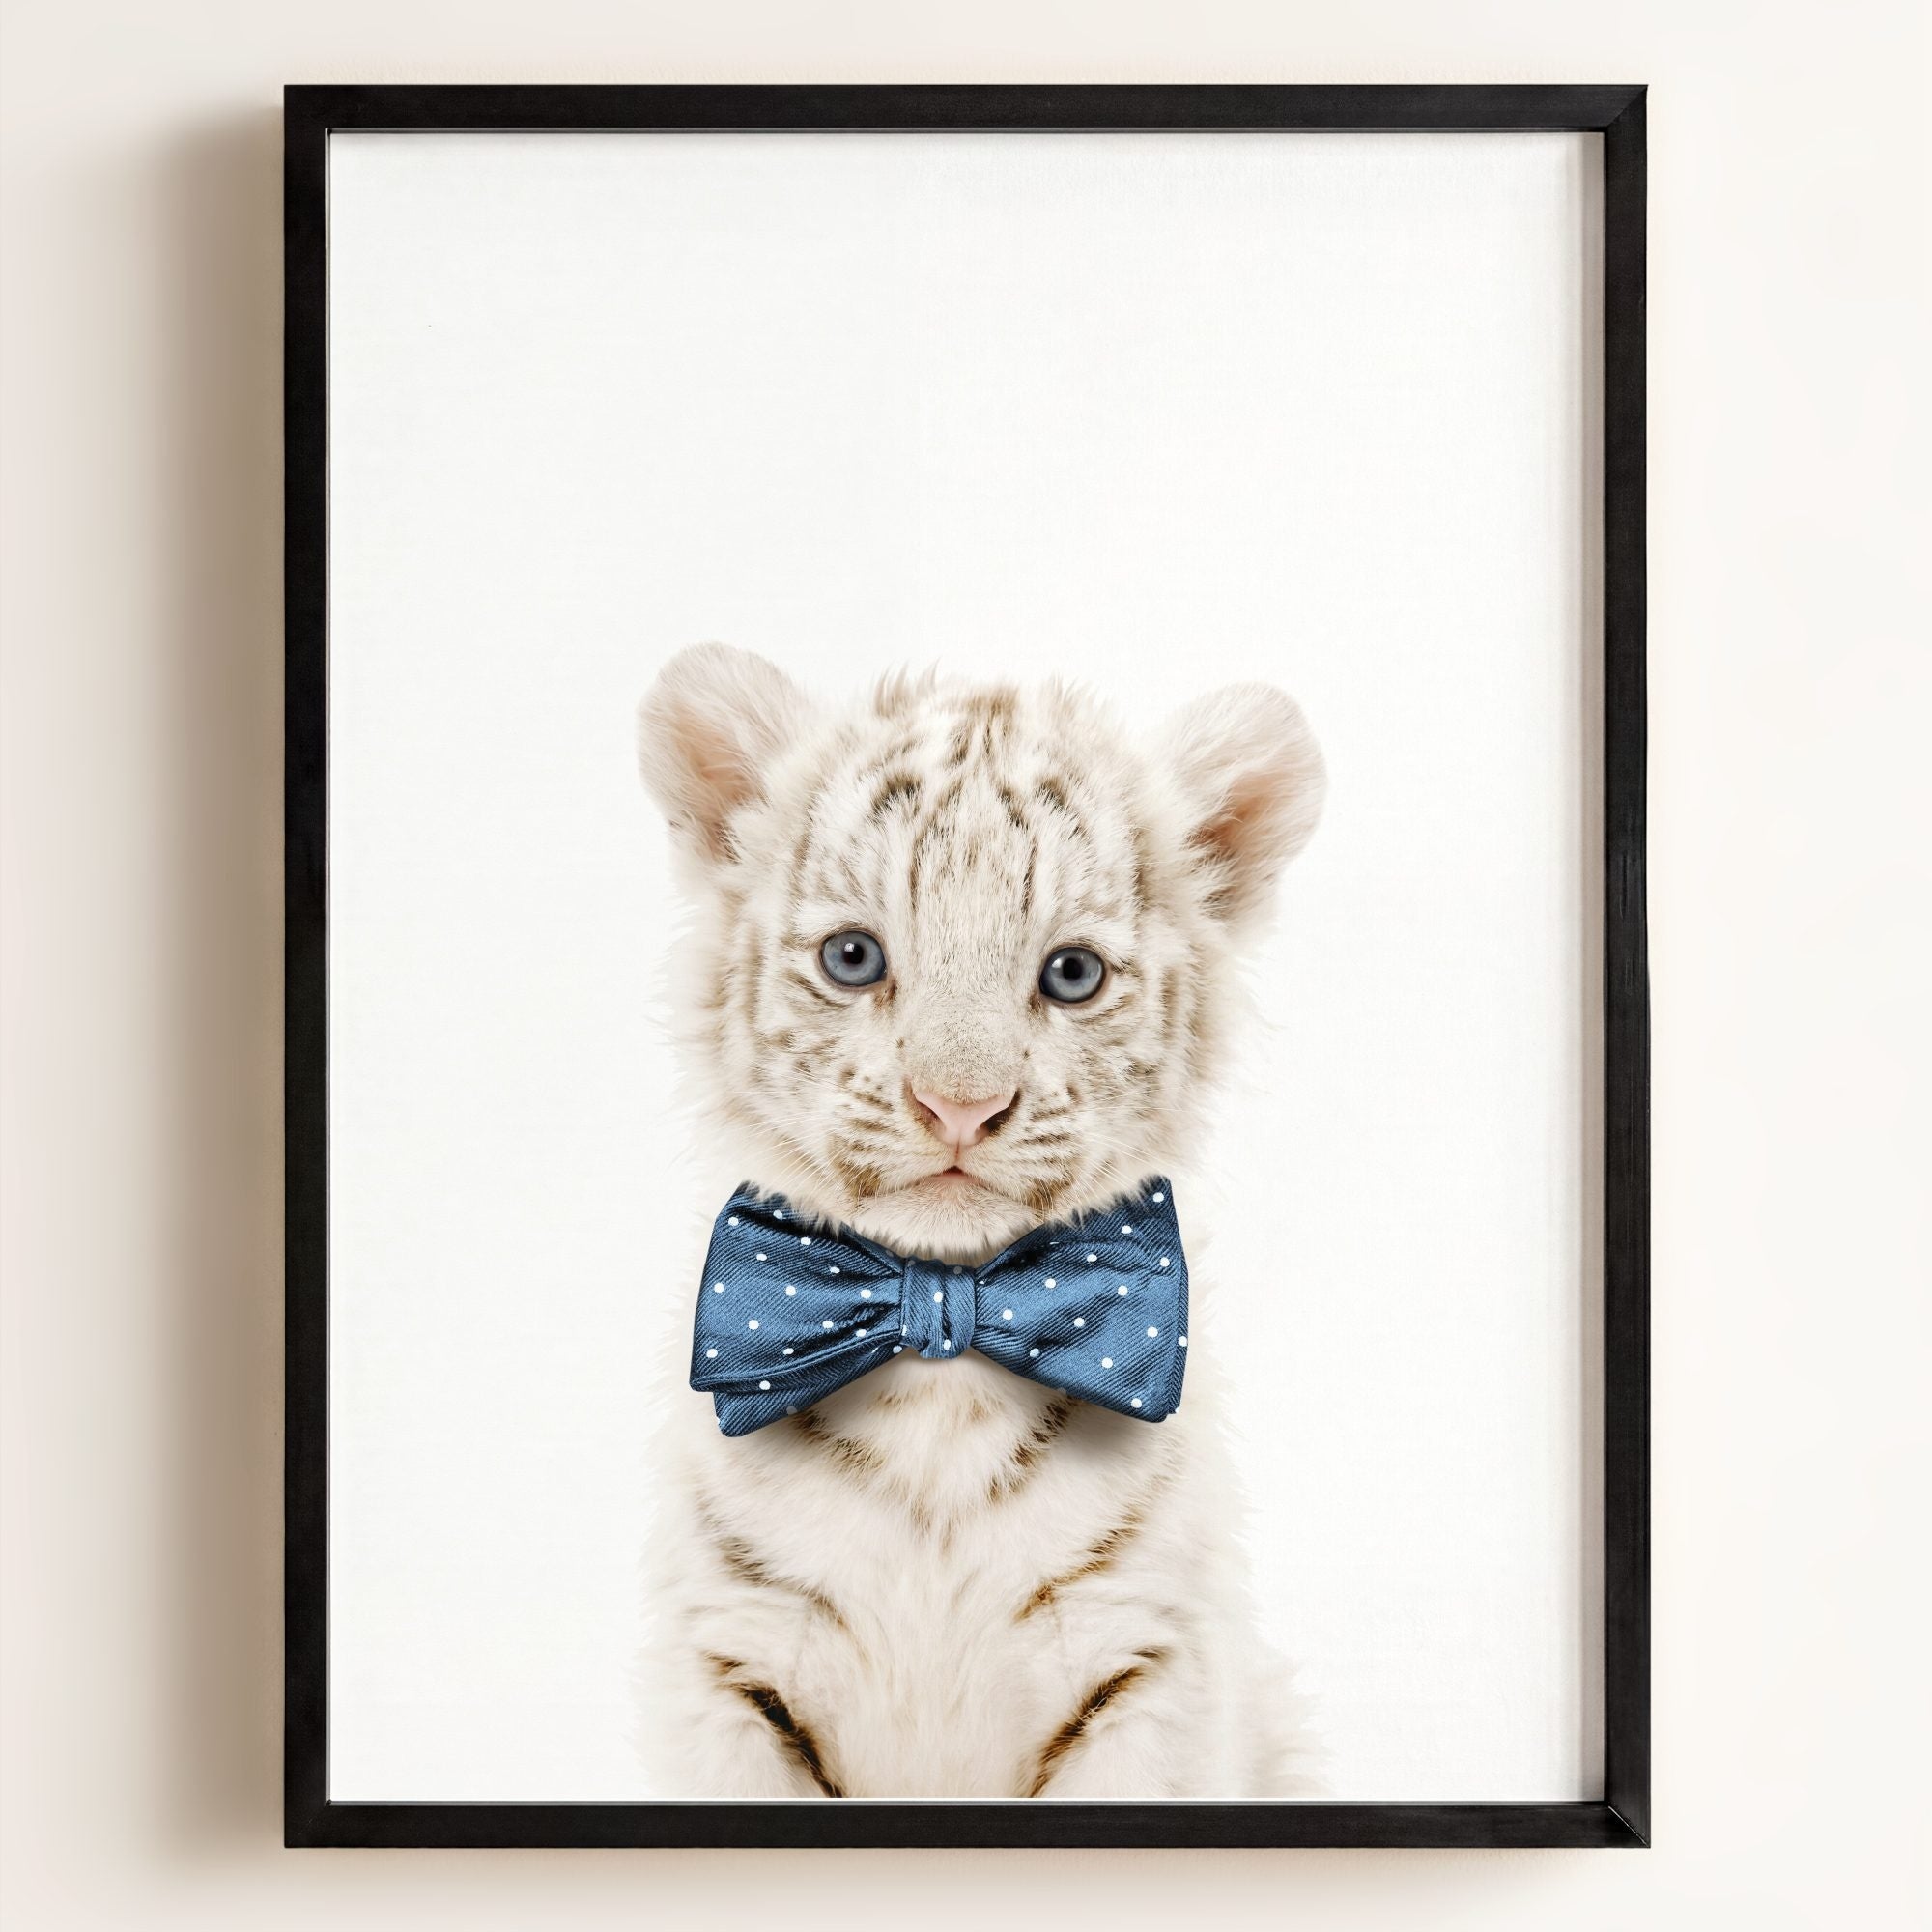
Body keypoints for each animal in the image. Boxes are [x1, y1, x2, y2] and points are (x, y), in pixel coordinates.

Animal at [633, 642, 1325, 1797]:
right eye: (853, 958)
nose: (958, 1105)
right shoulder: (730, 1665)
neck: (939, 1358)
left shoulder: (1145, 1666)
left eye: (1072, 973)